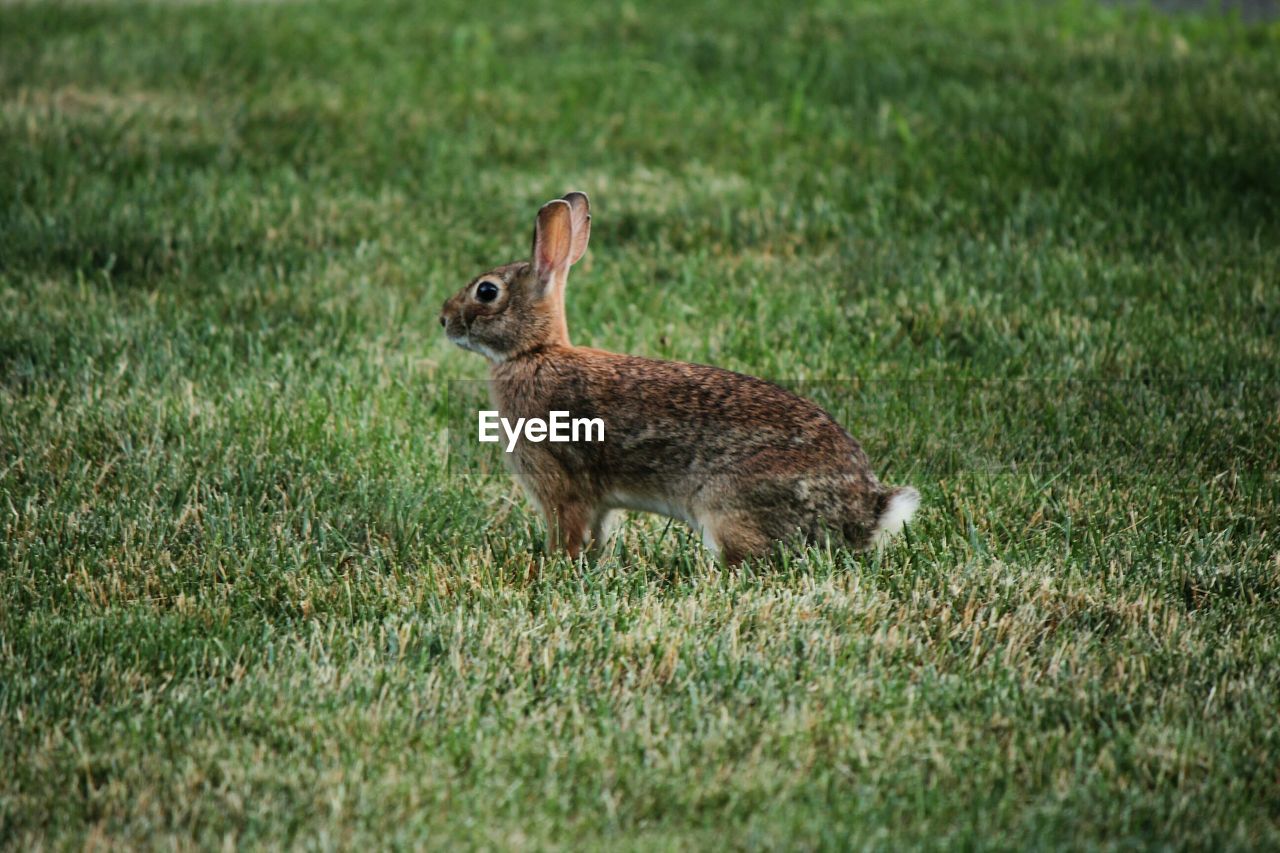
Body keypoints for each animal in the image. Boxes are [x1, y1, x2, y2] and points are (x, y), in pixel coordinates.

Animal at [442, 190, 921, 563]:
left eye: (487, 291)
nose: (443, 319)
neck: (534, 353)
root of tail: (864, 512)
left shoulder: (560, 486)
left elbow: (569, 534)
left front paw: (554, 566)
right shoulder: (597, 505)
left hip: (726, 507)